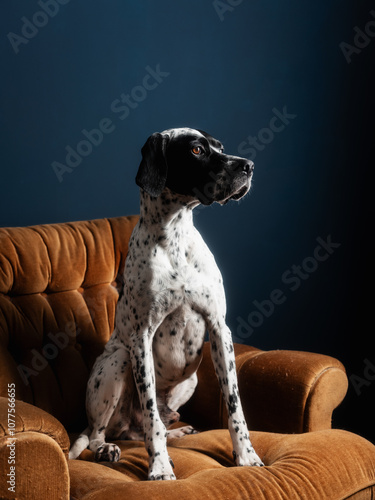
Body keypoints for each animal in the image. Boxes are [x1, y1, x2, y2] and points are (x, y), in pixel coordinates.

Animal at [70, 129, 264, 480]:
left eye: (221, 147)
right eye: (197, 150)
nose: (249, 166)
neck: (174, 234)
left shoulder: (219, 330)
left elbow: (235, 407)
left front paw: (247, 456)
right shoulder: (141, 339)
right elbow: (151, 418)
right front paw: (159, 466)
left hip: (191, 377)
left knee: (142, 427)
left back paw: (179, 430)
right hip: (118, 361)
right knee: (98, 434)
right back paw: (108, 448)